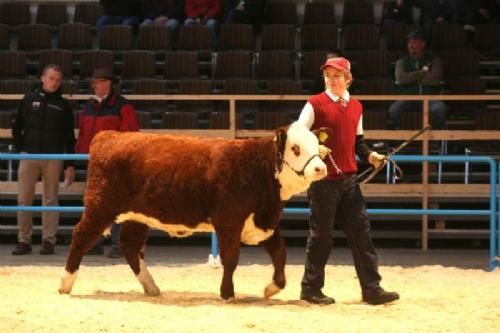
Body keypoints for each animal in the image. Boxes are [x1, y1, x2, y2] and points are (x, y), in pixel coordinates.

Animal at [58, 122, 328, 298]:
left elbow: (280, 253)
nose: (320, 168)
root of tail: (109, 136)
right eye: (295, 148)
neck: (256, 167)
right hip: (100, 207)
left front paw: (272, 288)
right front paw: (227, 293)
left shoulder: (263, 222)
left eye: (317, 146)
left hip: (137, 216)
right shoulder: (228, 221)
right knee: (80, 237)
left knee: (130, 246)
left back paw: (151, 287)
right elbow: (231, 258)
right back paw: (65, 283)